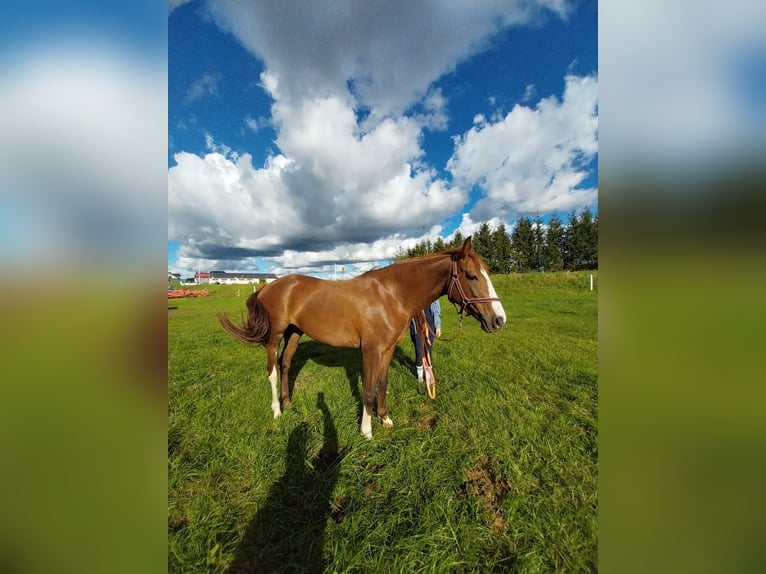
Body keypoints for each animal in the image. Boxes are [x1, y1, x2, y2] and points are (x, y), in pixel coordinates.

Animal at [217, 236, 506, 439]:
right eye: (471, 276)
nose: (499, 320)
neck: (392, 294)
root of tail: (267, 287)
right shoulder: (370, 350)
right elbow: (367, 391)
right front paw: (366, 431)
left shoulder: (387, 350)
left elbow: (382, 384)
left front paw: (385, 419)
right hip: (275, 336)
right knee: (273, 372)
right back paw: (277, 410)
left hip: (294, 333)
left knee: (286, 364)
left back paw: (289, 402)